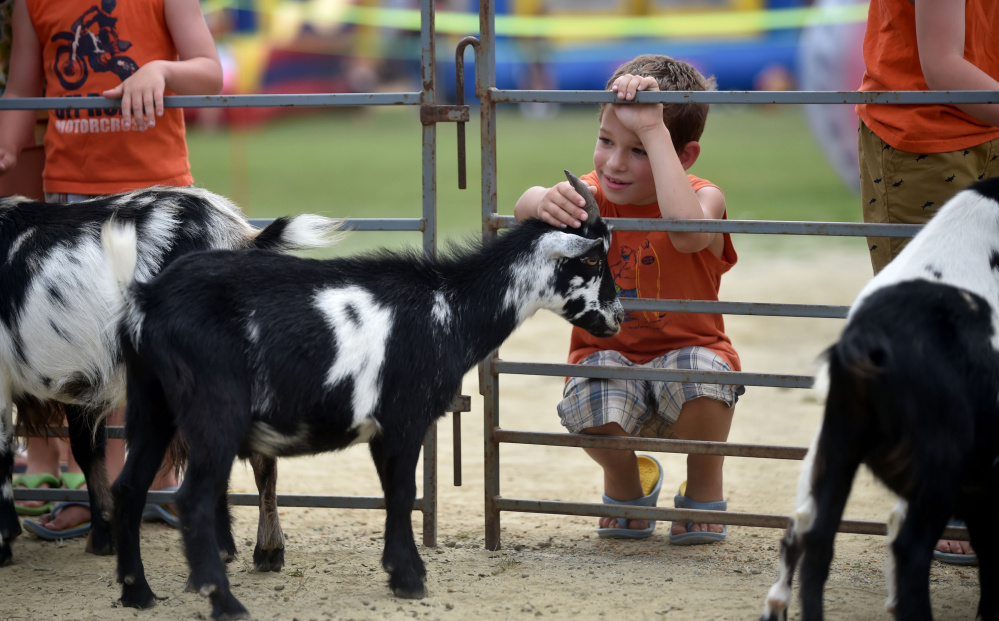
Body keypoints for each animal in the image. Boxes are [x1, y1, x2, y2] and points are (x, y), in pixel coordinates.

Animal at [0, 186, 340, 564]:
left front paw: (5, 543)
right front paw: (103, 538)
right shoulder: (80, 378)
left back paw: (228, 547)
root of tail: (240, 237)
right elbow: (87, 449)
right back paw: (265, 551)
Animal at [101, 171, 620, 620]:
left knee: (128, 486)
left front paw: (400, 571)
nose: (617, 316)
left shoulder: (379, 426)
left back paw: (137, 593)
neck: (449, 307)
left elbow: (391, 492)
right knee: (193, 498)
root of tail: (146, 299)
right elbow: (405, 491)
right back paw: (226, 604)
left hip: (151, 404)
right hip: (215, 411)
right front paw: (410, 580)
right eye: (594, 259)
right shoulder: (407, 415)